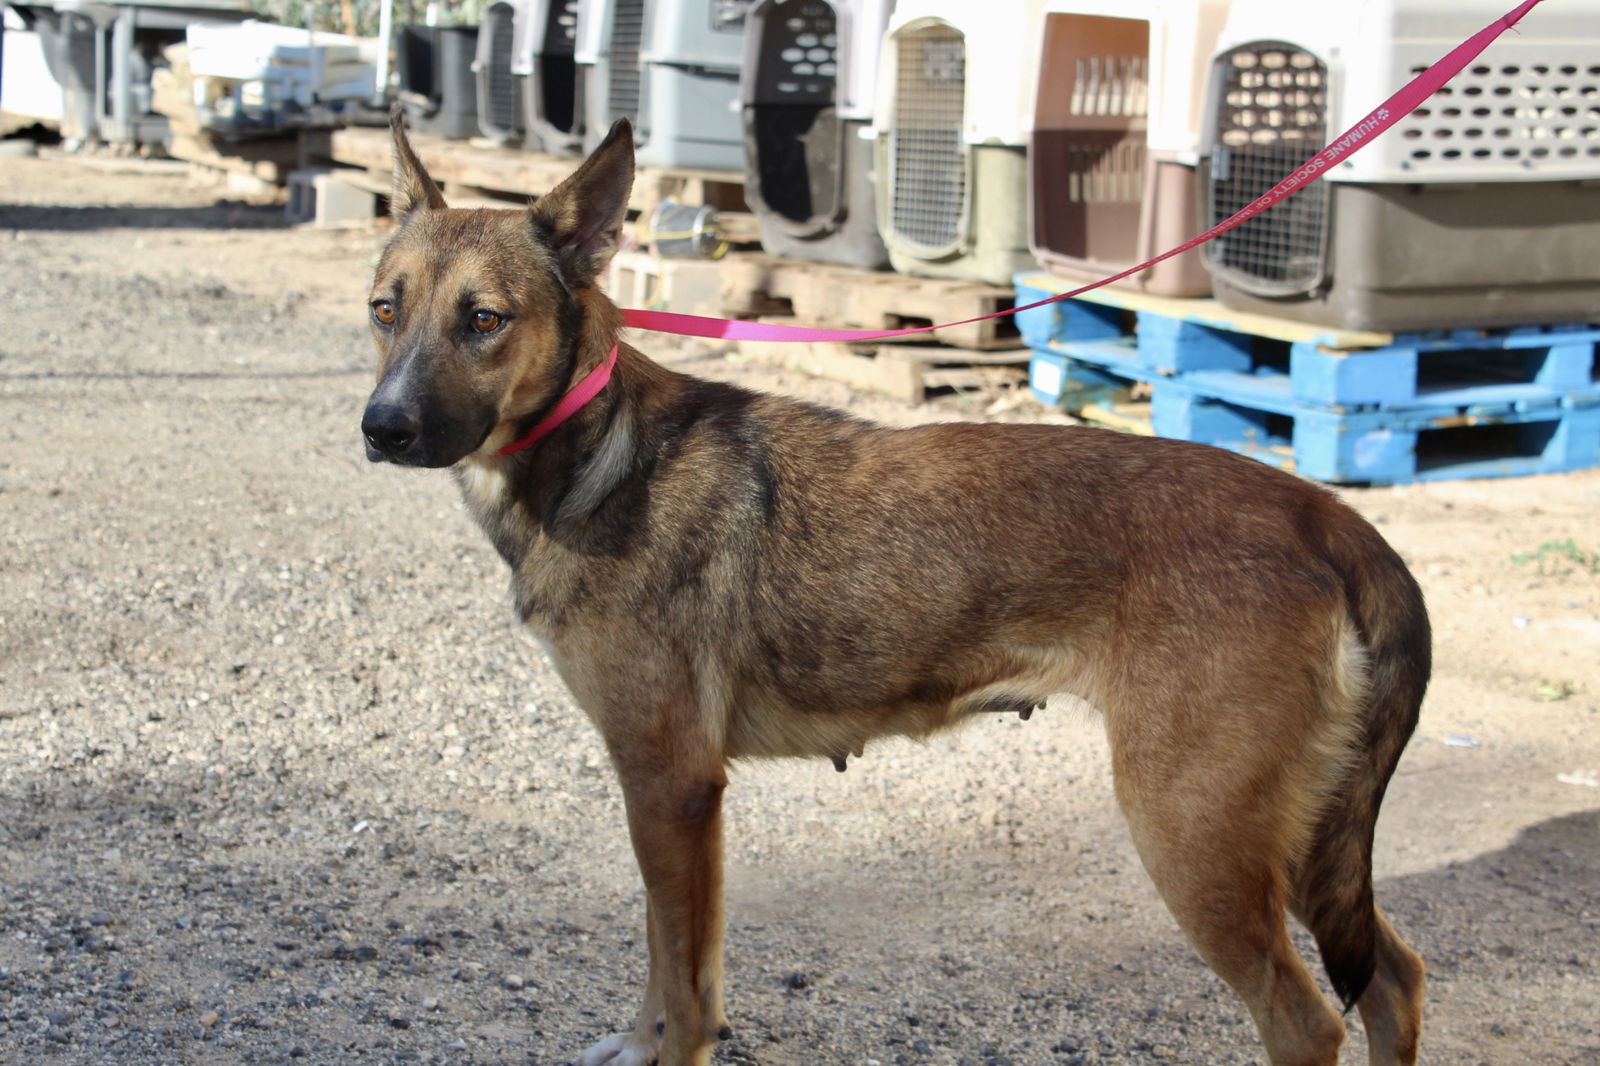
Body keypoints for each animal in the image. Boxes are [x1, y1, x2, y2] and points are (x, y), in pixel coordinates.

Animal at [360, 116, 1427, 1062]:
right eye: (384, 308)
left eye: (485, 321)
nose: (382, 429)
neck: (597, 452)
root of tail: (1325, 515)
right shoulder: (664, 792)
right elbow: (664, 965)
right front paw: (634, 1042)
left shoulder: (671, 785)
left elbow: (687, 987)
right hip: (1300, 836)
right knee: (1395, 979)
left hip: (1198, 833)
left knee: (1310, 1021)